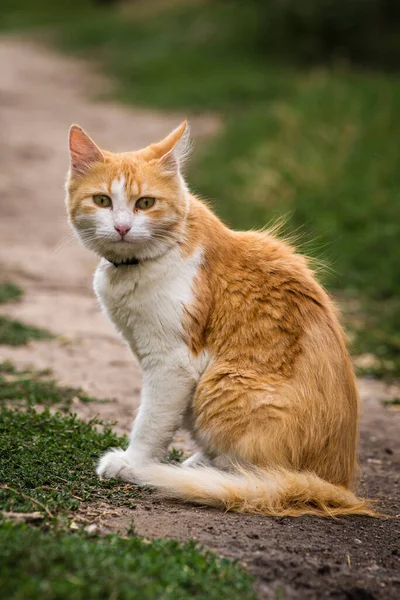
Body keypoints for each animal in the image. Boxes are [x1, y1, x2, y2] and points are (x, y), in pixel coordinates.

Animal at [65, 120, 376, 516]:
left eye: (145, 203)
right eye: (102, 201)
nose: (122, 228)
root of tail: (337, 483)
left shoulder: (172, 363)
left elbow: (150, 422)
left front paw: (134, 464)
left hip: (222, 385)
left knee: (250, 472)